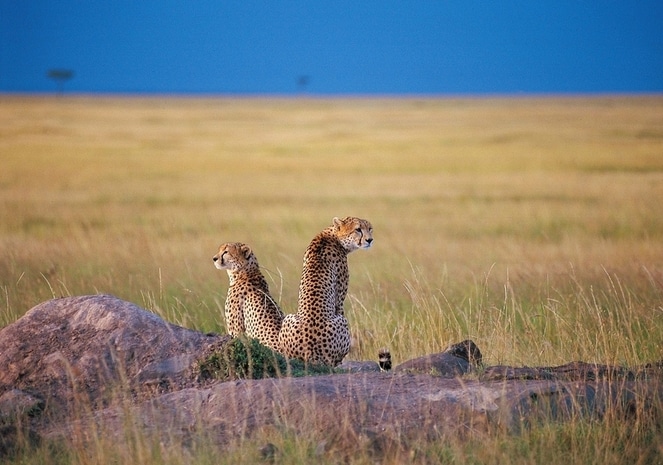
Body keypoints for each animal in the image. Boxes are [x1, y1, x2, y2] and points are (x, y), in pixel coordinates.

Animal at [278, 217, 374, 366]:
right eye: (358, 229)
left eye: (369, 229)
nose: (370, 240)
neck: (334, 235)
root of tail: (311, 354)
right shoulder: (339, 301)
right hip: (341, 322)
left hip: (288, 319)